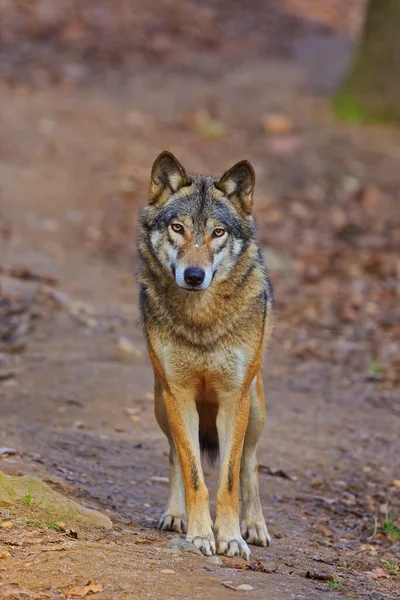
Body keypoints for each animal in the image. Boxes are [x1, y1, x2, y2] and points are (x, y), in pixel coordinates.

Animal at [138, 150, 276, 556]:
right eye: (178, 228)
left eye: (218, 232)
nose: (194, 275)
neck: (202, 320)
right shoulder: (178, 394)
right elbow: (193, 473)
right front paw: (200, 534)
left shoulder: (234, 397)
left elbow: (228, 480)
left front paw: (230, 537)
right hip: (161, 404)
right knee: (175, 457)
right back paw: (174, 515)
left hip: (255, 405)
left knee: (250, 463)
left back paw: (255, 526)